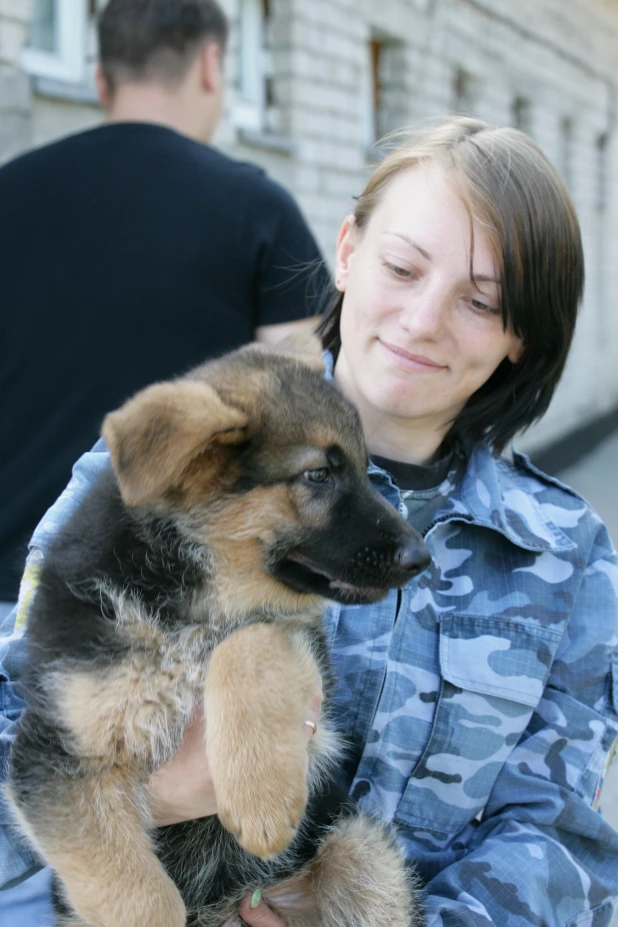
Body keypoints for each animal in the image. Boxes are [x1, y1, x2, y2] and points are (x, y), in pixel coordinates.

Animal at [7, 338, 428, 927]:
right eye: (318, 476)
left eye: (367, 471)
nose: (422, 558)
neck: (186, 599)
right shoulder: (53, 756)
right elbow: (133, 893)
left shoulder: (302, 651)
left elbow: (247, 642)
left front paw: (261, 799)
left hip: (361, 853)